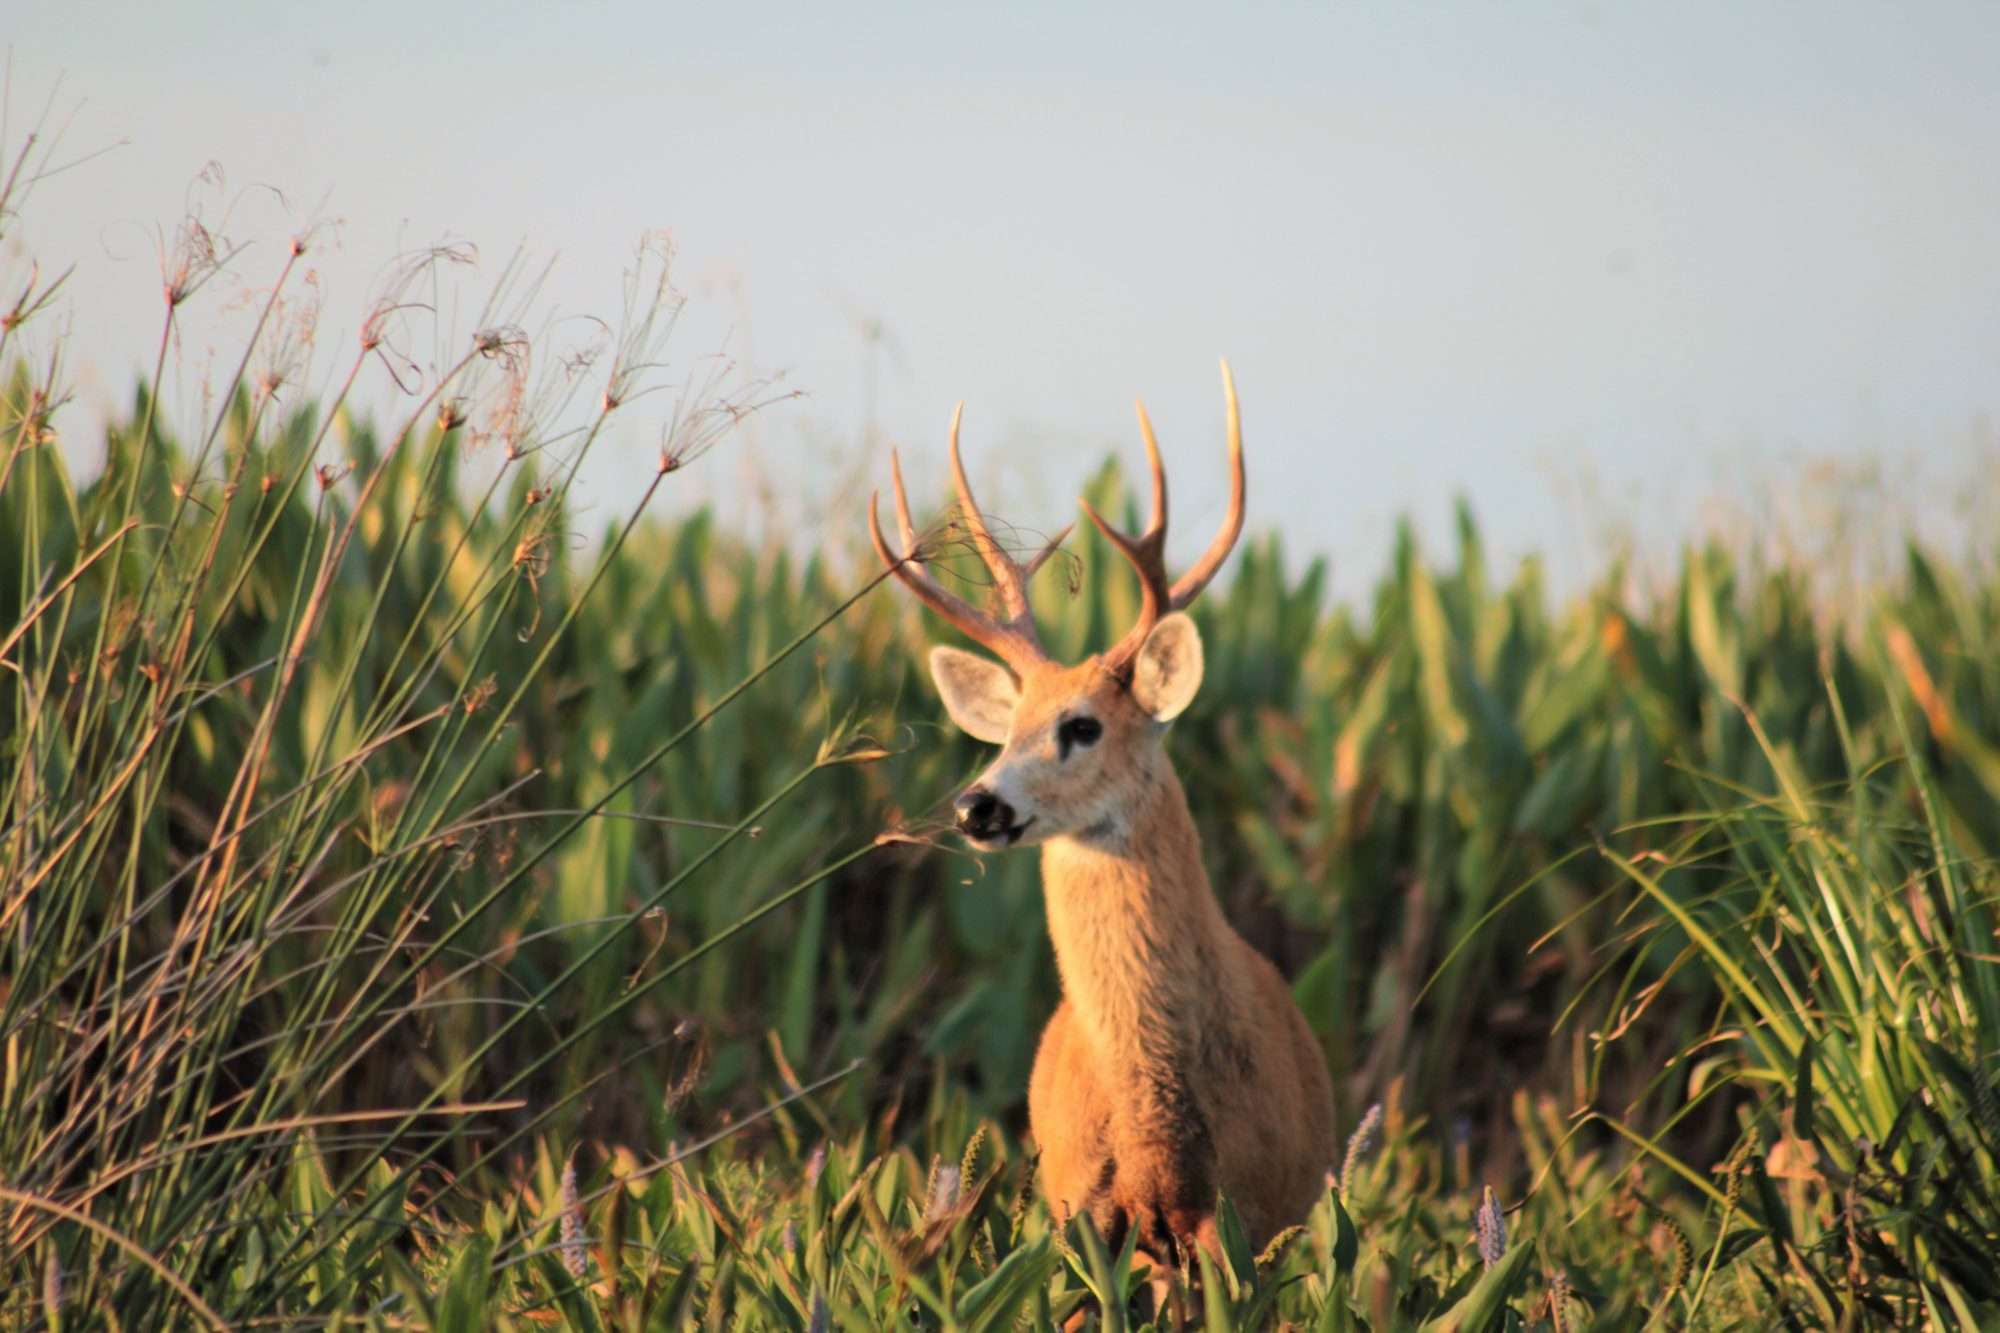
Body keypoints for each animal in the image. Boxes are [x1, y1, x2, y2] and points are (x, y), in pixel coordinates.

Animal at [868, 358, 1336, 1280]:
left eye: (1082, 725)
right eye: (1007, 727)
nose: (977, 804)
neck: (1156, 1121)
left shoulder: (1243, 1221)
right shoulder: (1084, 1213)